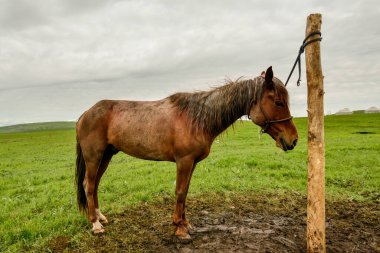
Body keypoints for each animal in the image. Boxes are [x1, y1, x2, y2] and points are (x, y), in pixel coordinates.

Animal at [75, 66, 298, 239]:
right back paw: (95, 224)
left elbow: (186, 192)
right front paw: (179, 228)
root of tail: (85, 114)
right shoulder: (184, 161)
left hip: (106, 155)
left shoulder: (192, 163)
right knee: (89, 185)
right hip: (94, 156)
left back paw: (100, 217)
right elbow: (180, 192)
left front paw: (185, 222)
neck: (197, 119)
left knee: (95, 185)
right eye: (278, 102)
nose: (293, 140)